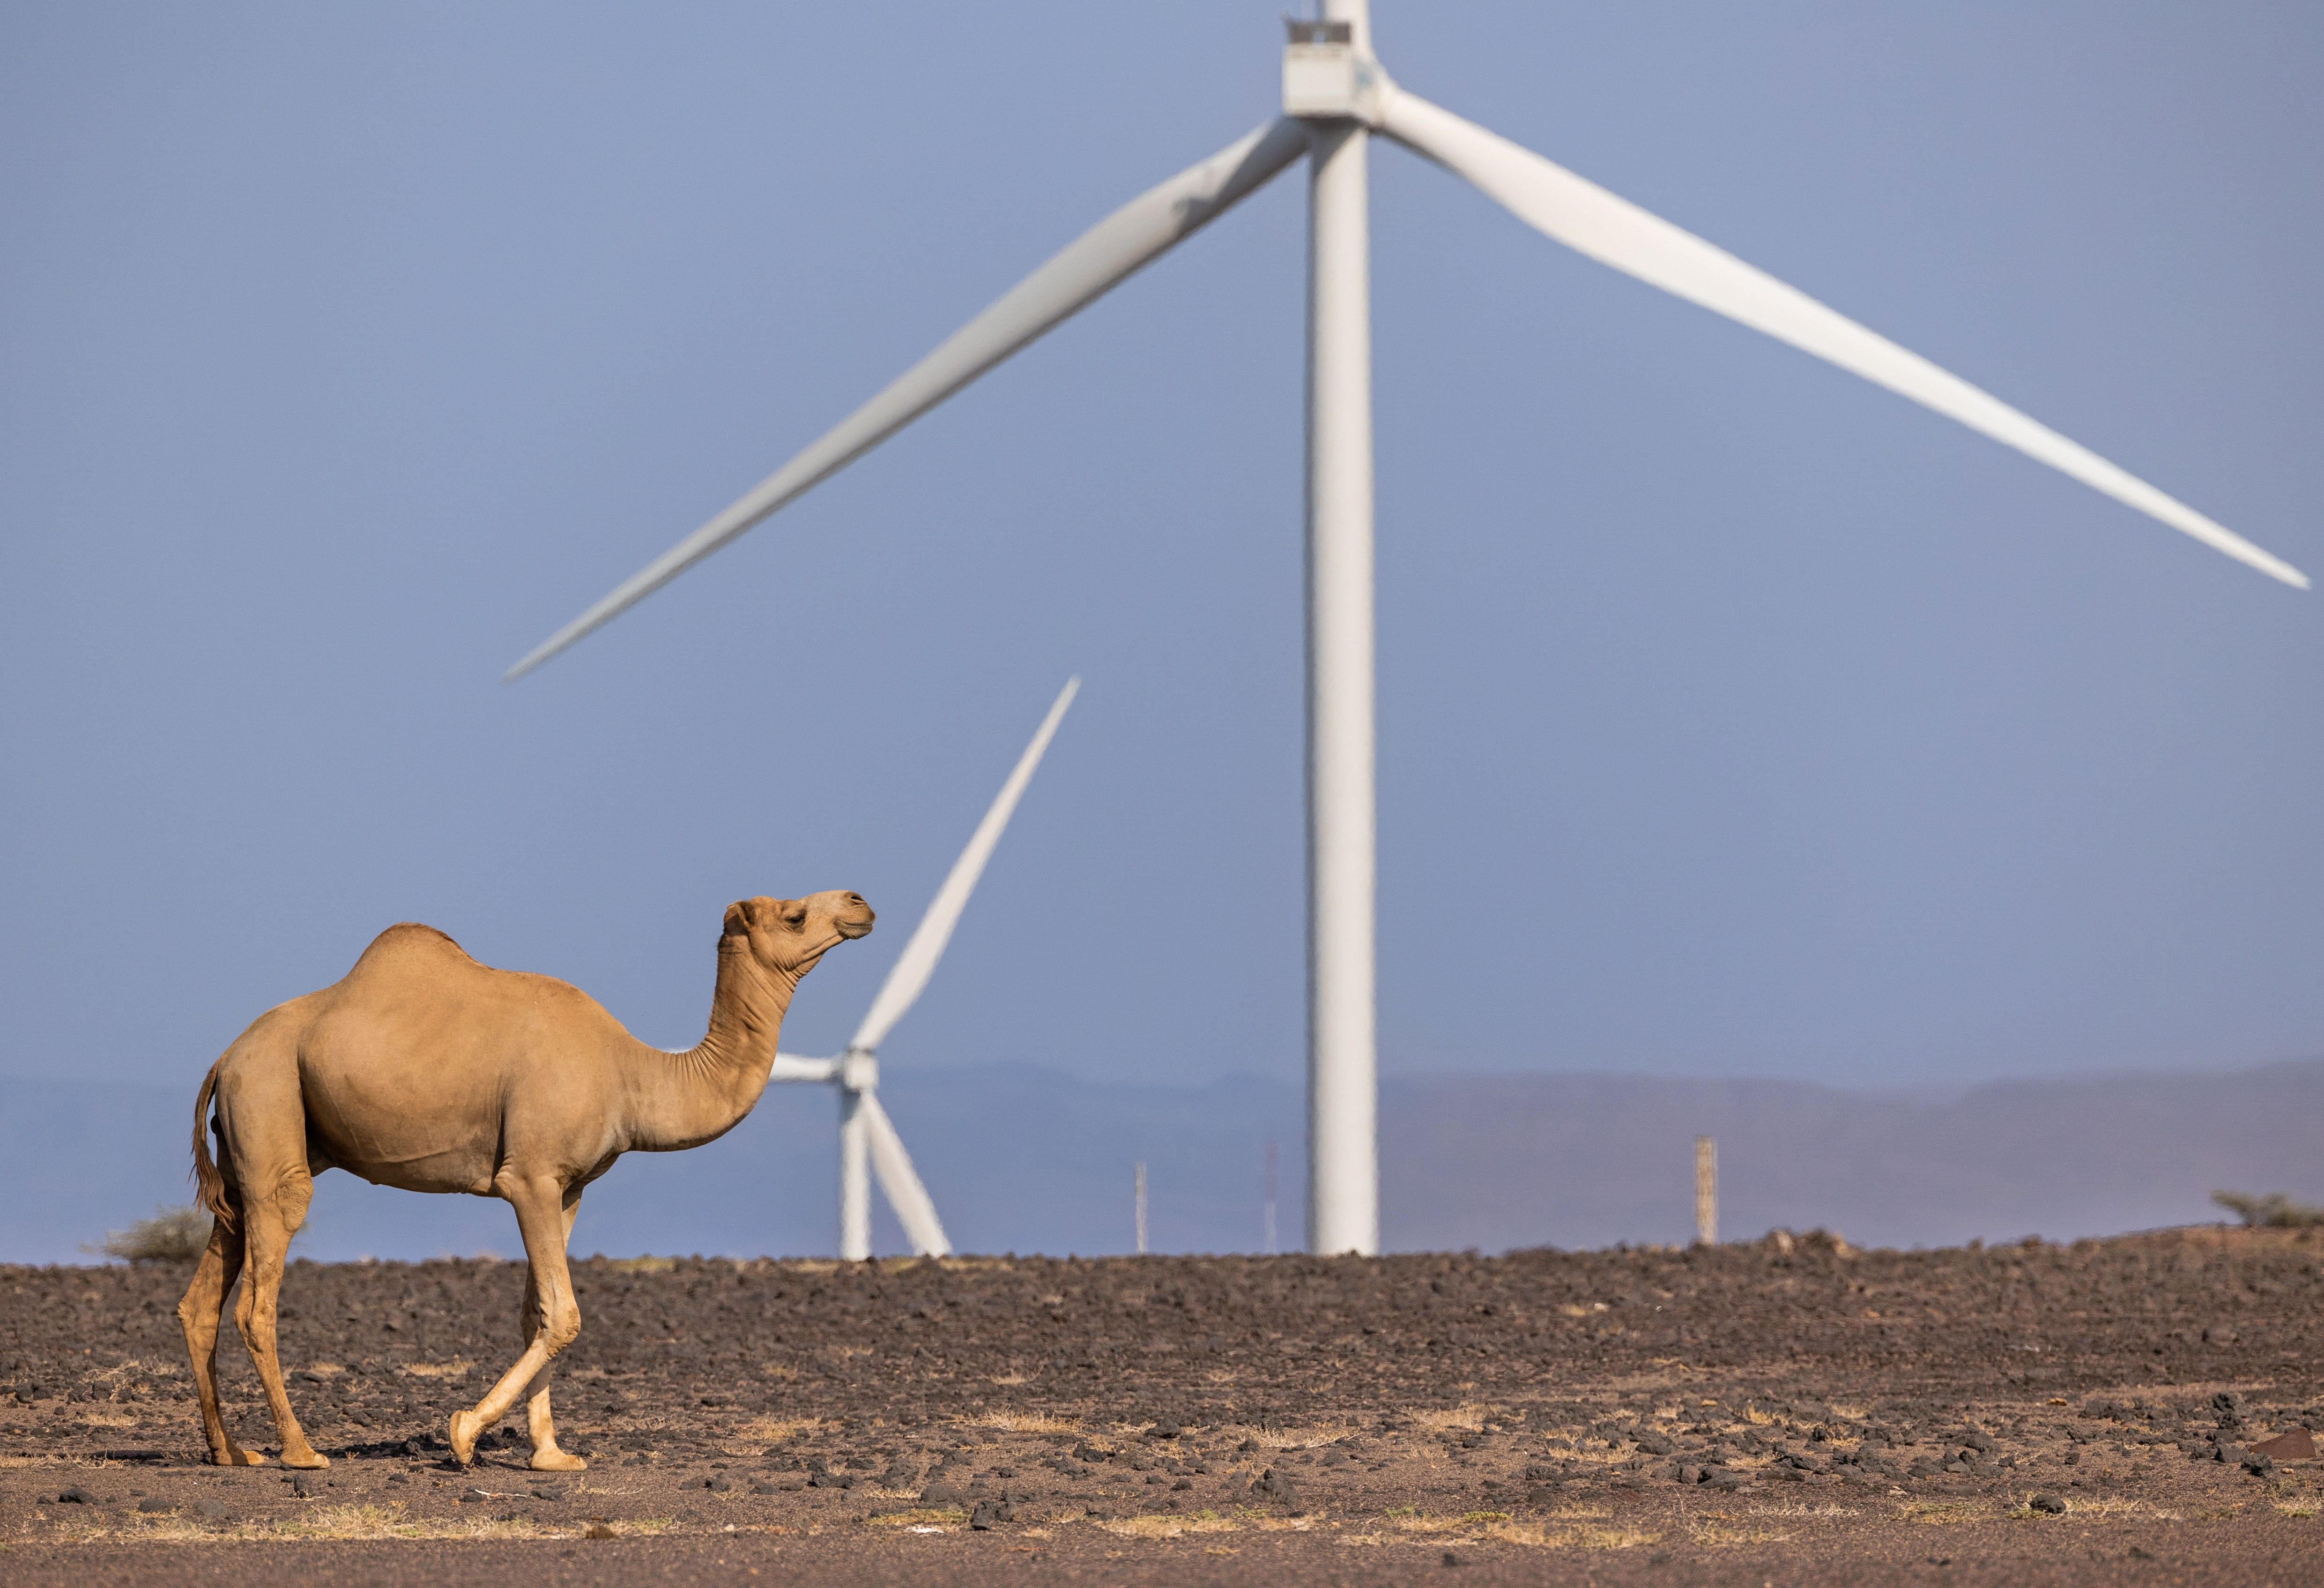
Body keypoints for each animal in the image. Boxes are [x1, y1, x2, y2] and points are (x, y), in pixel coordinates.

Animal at [177, 888, 874, 1469]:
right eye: (794, 915)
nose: (859, 903)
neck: (632, 1076)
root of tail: (223, 1058)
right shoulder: (529, 1176)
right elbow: (563, 1315)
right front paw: (463, 1435)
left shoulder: (570, 1185)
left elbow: (535, 1311)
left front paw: (551, 1455)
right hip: (270, 1104)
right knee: (260, 1293)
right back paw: (300, 1451)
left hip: (244, 1152)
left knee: (202, 1295)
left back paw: (230, 1451)